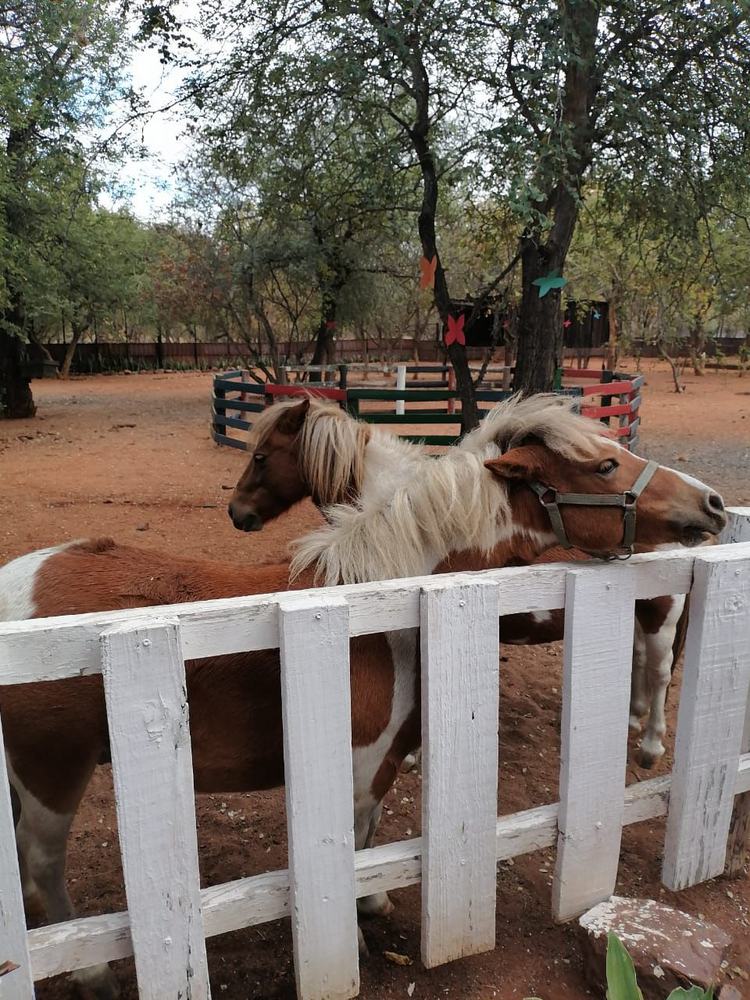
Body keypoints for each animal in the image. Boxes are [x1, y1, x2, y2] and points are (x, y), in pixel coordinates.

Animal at [228, 395, 711, 765]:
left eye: (260, 457)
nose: (236, 513)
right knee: (639, 659)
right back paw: (631, 717)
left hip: (663, 614)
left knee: (660, 671)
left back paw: (650, 745)